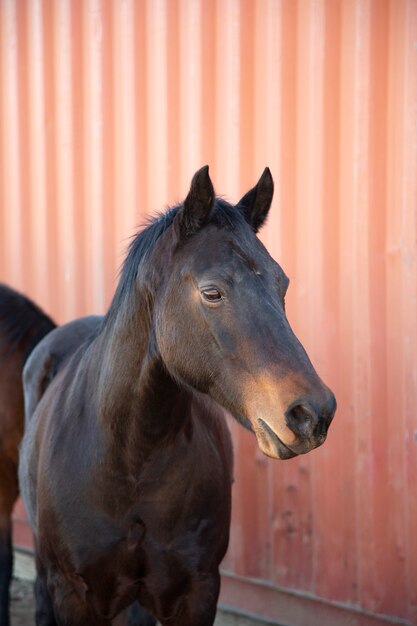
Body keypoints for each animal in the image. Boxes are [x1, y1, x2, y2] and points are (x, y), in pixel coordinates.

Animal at [19, 167, 336, 624]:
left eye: (283, 285)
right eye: (211, 292)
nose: (312, 413)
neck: (130, 460)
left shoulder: (197, 591)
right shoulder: (72, 593)